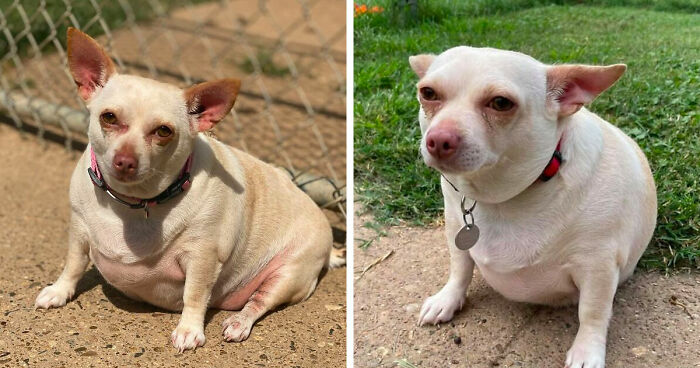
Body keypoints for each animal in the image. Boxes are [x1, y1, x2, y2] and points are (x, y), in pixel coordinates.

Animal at [35, 28, 344, 350]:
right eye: (108, 117)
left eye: (163, 131)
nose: (125, 161)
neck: (133, 203)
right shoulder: (79, 231)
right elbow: (73, 263)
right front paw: (59, 291)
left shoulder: (203, 258)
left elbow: (194, 295)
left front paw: (189, 330)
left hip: (288, 275)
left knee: (259, 302)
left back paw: (238, 323)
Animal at [410, 46, 656, 368]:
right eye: (428, 93)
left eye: (501, 103)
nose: (438, 139)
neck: (501, 198)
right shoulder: (455, 228)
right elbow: (460, 269)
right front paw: (447, 299)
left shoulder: (598, 266)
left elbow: (592, 312)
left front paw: (586, 351)